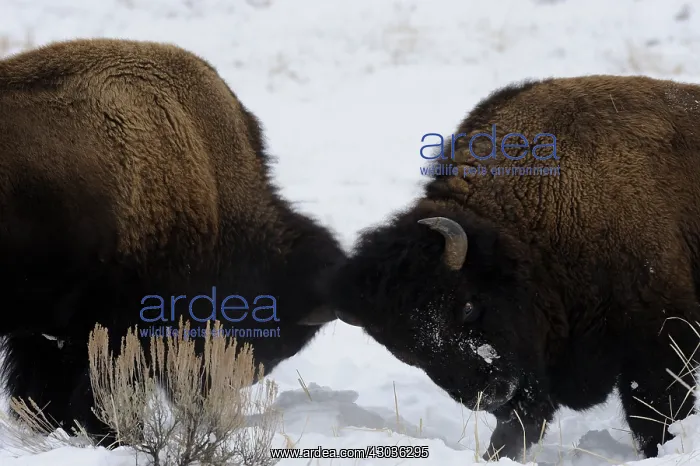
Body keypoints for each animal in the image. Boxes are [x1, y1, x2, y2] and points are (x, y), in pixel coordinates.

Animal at [330, 75, 700, 459]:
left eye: (468, 306)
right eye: (406, 352)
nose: (490, 394)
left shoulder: (661, 336)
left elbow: (655, 412)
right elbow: (518, 427)